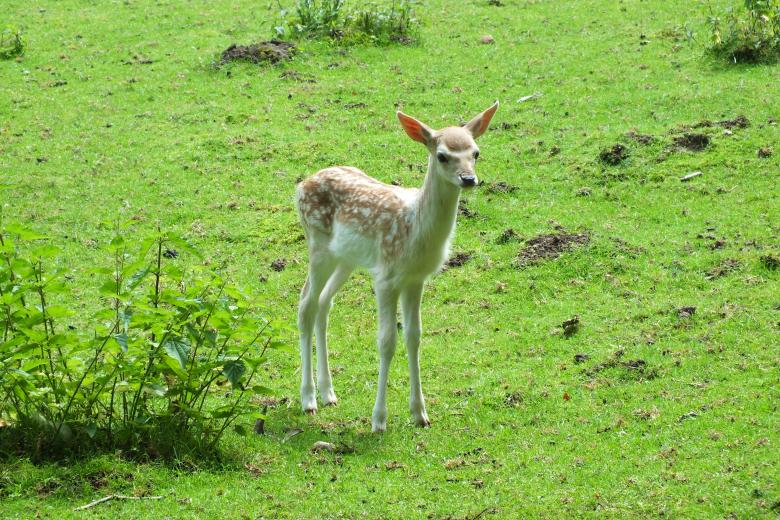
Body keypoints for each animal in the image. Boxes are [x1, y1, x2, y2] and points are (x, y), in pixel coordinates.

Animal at [295, 101, 499, 432]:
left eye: (476, 153)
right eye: (442, 155)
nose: (469, 179)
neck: (415, 229)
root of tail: (301, 185)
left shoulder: (416, 278)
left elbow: (414, 337)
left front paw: (420, 413)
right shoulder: (387, 277)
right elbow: (386, 341)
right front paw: (379, 420)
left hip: (346, 258)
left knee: (324, 303)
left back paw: (329, 394)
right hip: (317, 244)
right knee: (305, 305)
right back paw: (308, 399)